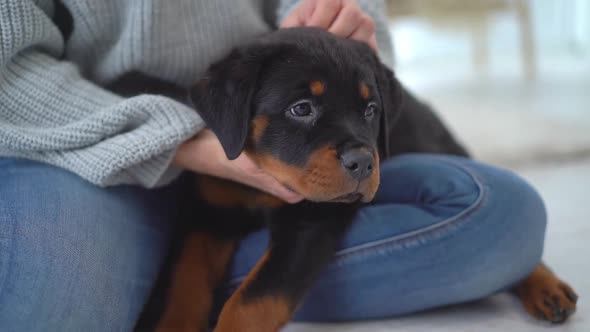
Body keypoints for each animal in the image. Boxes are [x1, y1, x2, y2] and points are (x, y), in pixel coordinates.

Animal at [150, 27, 580, 330]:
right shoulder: (207, 213)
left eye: (371, 109)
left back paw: (547, 287)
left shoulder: (312, 220)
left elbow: (253, 299)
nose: (362, 162)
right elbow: (183, 282)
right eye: (301, 108)